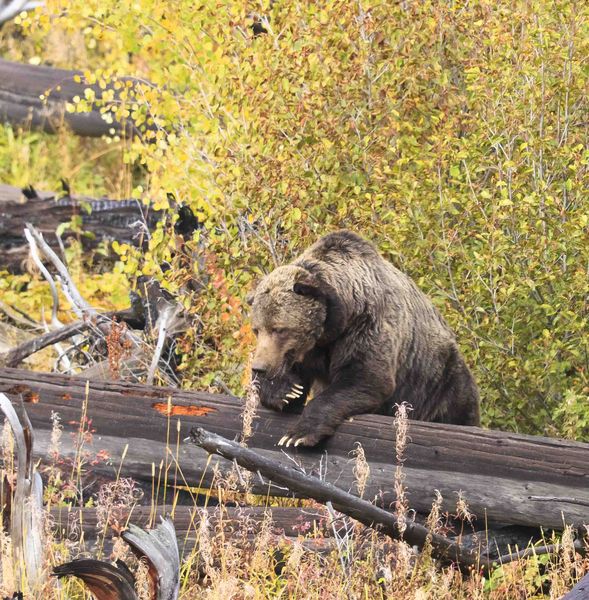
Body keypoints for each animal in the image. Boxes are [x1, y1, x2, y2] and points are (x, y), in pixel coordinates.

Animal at [246, 230, 480, 446]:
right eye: (257, 329)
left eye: (279, 329)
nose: (259, 367)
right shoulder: (311, 350)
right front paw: (287, 391)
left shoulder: (365, 326)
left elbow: (366, 377)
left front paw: (298, 435)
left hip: (437, 377)